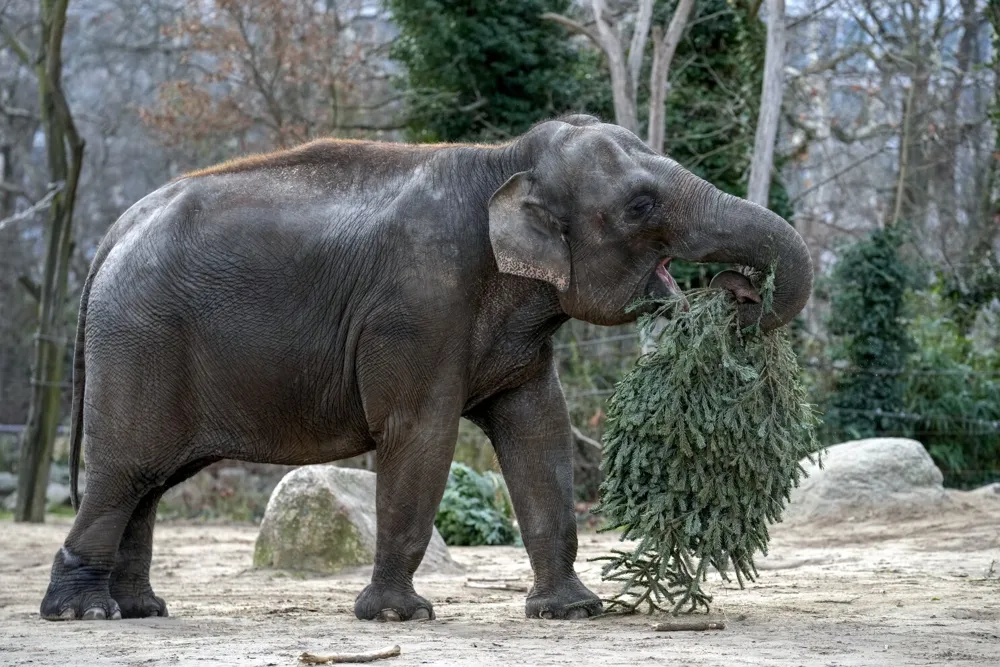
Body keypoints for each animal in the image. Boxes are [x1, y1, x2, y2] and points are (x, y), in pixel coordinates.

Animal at [39, 113, 812, 628]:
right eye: (641, 205)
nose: (739, 294)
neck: (505, 161)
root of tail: (115, 231)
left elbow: (540, 433)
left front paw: (571, 612)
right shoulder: (419, 304)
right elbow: (421, 435)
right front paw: (397, 617)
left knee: (148, 483)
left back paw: (141, 609)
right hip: (140, 342)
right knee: (126, 472)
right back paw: (85, 615)